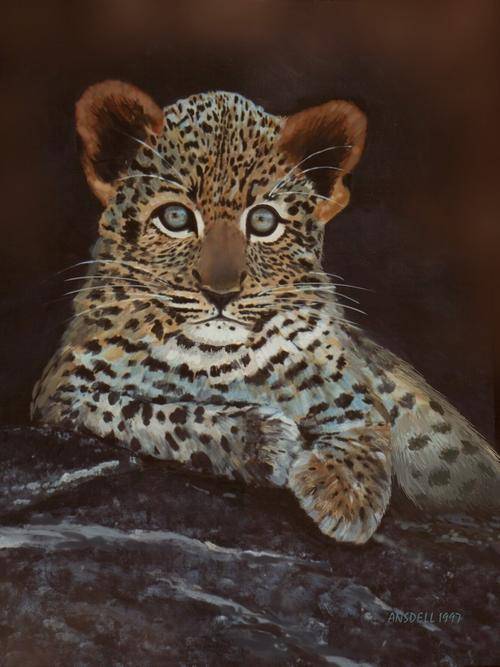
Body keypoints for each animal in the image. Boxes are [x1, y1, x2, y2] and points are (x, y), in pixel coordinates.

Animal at [31, 80, 500, 544]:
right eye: (176, 217)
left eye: (262, 222)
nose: (220, 293)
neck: (216, 362)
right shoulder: (61, 392)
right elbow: (152, 414)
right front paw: (263, 440)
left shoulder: (354, 383)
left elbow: (365, 418)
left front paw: (344, 495)